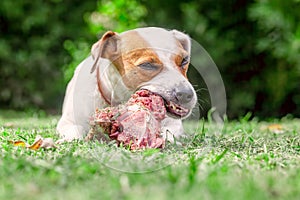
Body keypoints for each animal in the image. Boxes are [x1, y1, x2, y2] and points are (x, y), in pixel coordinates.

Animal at [56, 27, 197, 142]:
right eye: (147, 65)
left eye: (184, 60)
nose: (186, 94)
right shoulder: (68, 122)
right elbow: (75, 130)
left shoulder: (173, 124)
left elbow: (168, 131)